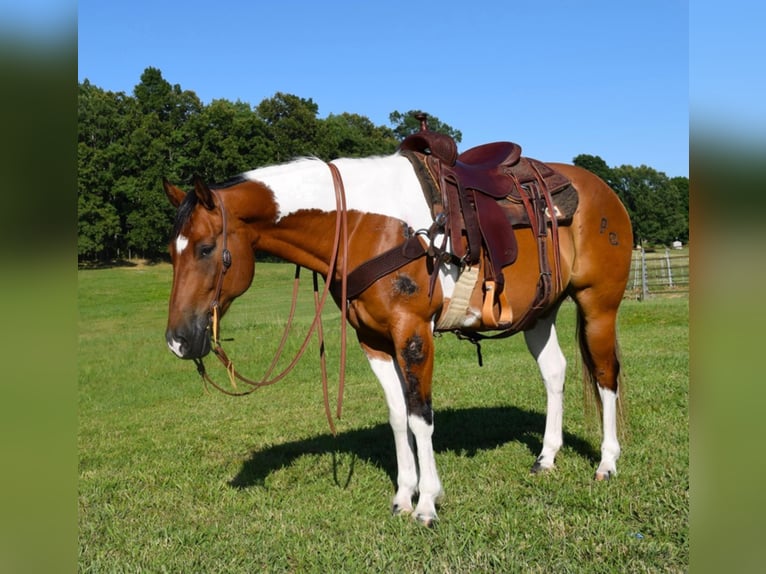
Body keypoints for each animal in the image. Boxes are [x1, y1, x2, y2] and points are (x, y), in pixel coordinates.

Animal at [165, 147, 632, 528]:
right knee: (555, 373)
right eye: (172, 251)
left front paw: (427, 503)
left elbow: (420, 416)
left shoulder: (413, 333)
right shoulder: (373, 341)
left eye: (205, 249)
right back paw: (547, 457)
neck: (364, 226)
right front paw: (404, 496)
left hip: (598, 306)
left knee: (606, 376)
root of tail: (603, 191)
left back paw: (608, 462)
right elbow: (397, 416)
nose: (178, 341)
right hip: (540, 313)